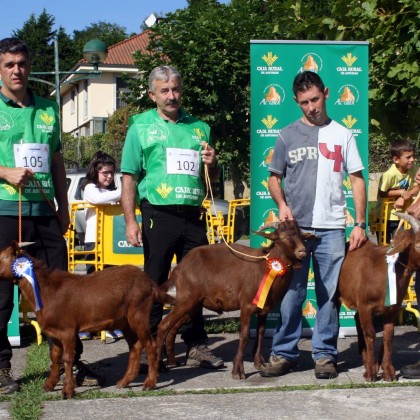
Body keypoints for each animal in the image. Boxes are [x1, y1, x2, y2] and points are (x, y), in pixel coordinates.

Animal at [0, 241, 175, 398]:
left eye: (1, 257)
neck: (44, 290)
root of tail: (150, 283)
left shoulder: (68, 330)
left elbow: (68, 358)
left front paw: (68, 390)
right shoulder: (53, 333)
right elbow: (55, 357)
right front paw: (49, 385)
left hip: (138, 313)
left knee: (150, 345)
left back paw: (149, 383)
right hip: (125, 321)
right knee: (136, 347)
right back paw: (124, 381)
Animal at [158, 220, 308, 380]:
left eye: (301, 236)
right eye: (284, 237)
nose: (302, 251)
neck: (266, 266)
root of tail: (178, 269)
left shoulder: (264, 309)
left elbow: (261, 333)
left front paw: (259, 363)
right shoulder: (246, 306)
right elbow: (244, 336)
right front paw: (238, 371)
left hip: (193, 306)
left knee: (173, 327)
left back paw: (172, 361)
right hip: (186, 300)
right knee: (163, 325)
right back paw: (160, 366)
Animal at [338, 213, 420, 380]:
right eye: (418, 245)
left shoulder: (393, 308)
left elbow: (388, 337)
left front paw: (388, 372)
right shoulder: (364, 306)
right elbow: (370, 334)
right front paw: (371, 373)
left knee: (357, 321)